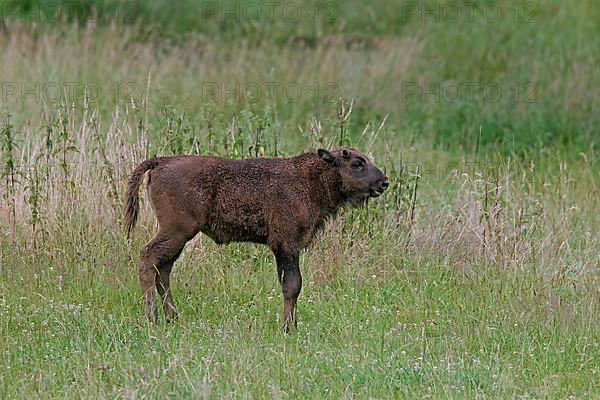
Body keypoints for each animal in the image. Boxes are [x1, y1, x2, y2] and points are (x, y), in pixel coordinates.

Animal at [125, 147, 392, 332]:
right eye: (356, 163)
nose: (384, 182)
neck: (310, 179)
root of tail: (161, 161)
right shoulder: (286, 245)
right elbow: (292, 285)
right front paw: (288, 328)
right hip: (176, 231)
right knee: (148, 258)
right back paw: (153, 318)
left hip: (178, 237)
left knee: (163, 269)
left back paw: (173, 318)